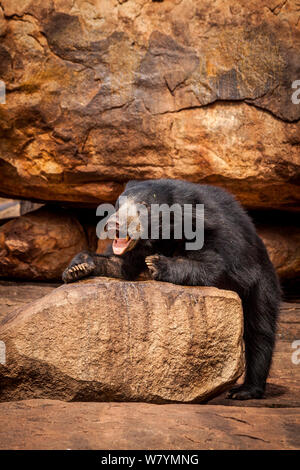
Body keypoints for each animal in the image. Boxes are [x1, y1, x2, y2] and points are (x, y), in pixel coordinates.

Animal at [62, 180, 280, 400]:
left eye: (143, 208)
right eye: (118, 205)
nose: (114, 224)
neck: (167, 231)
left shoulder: (219, 233)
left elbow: (217, 267)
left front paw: (157, 264)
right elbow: (121, 265)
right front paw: (77, 268)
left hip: (262, 281)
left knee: (260, 328)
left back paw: (245, 390)